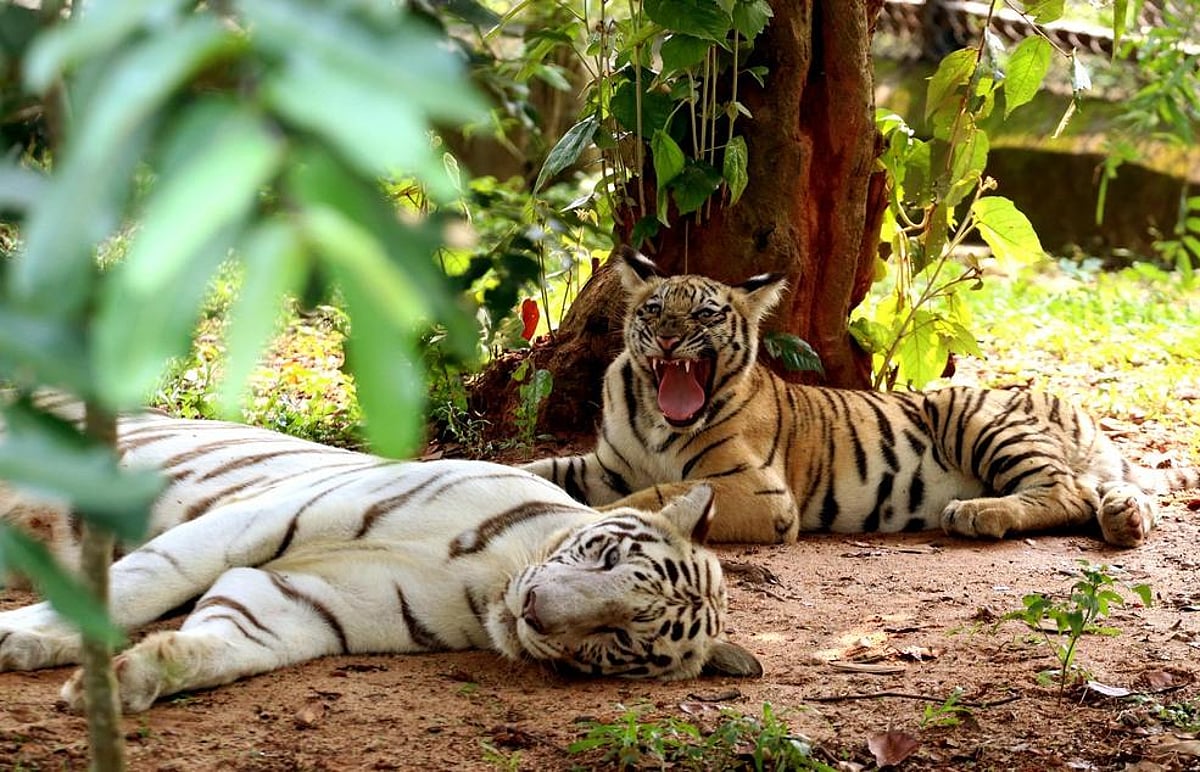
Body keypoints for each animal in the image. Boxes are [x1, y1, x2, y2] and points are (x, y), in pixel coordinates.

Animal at [0, 394, 762, 713]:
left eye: (619, 638)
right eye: (602, 558)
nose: (537, 613)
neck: (488, 580)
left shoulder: (298, 601)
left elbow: (220, 647)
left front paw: (129, 681)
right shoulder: (259, 517)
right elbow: (143, 582)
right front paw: (22, 637)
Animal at [523, 250, 1200, 546]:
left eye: (706, 314)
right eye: (654, 309)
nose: (667, 338)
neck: (654, 414)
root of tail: (1076, 409)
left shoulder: (756, 490)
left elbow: (656, 495)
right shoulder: (606, 463)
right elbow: (543, 468)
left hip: (972, 413)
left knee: (1066, 490)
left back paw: (979, 514)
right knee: (1111, 491)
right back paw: (1124, 518)